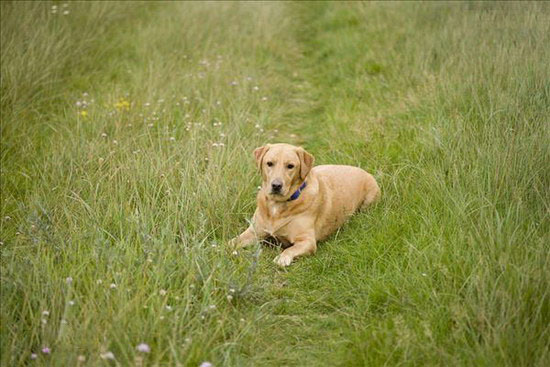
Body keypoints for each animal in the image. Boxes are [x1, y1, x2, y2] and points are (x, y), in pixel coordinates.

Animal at [231, 144, 382, 268]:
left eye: (290, 166)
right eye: (269, 163)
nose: (276, 185)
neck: (277, 205)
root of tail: (362, 170)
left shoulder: (307, 241)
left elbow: (289, 249)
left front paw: (282, 258)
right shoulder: (253, 232)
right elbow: (233, 241)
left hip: (368, 200)